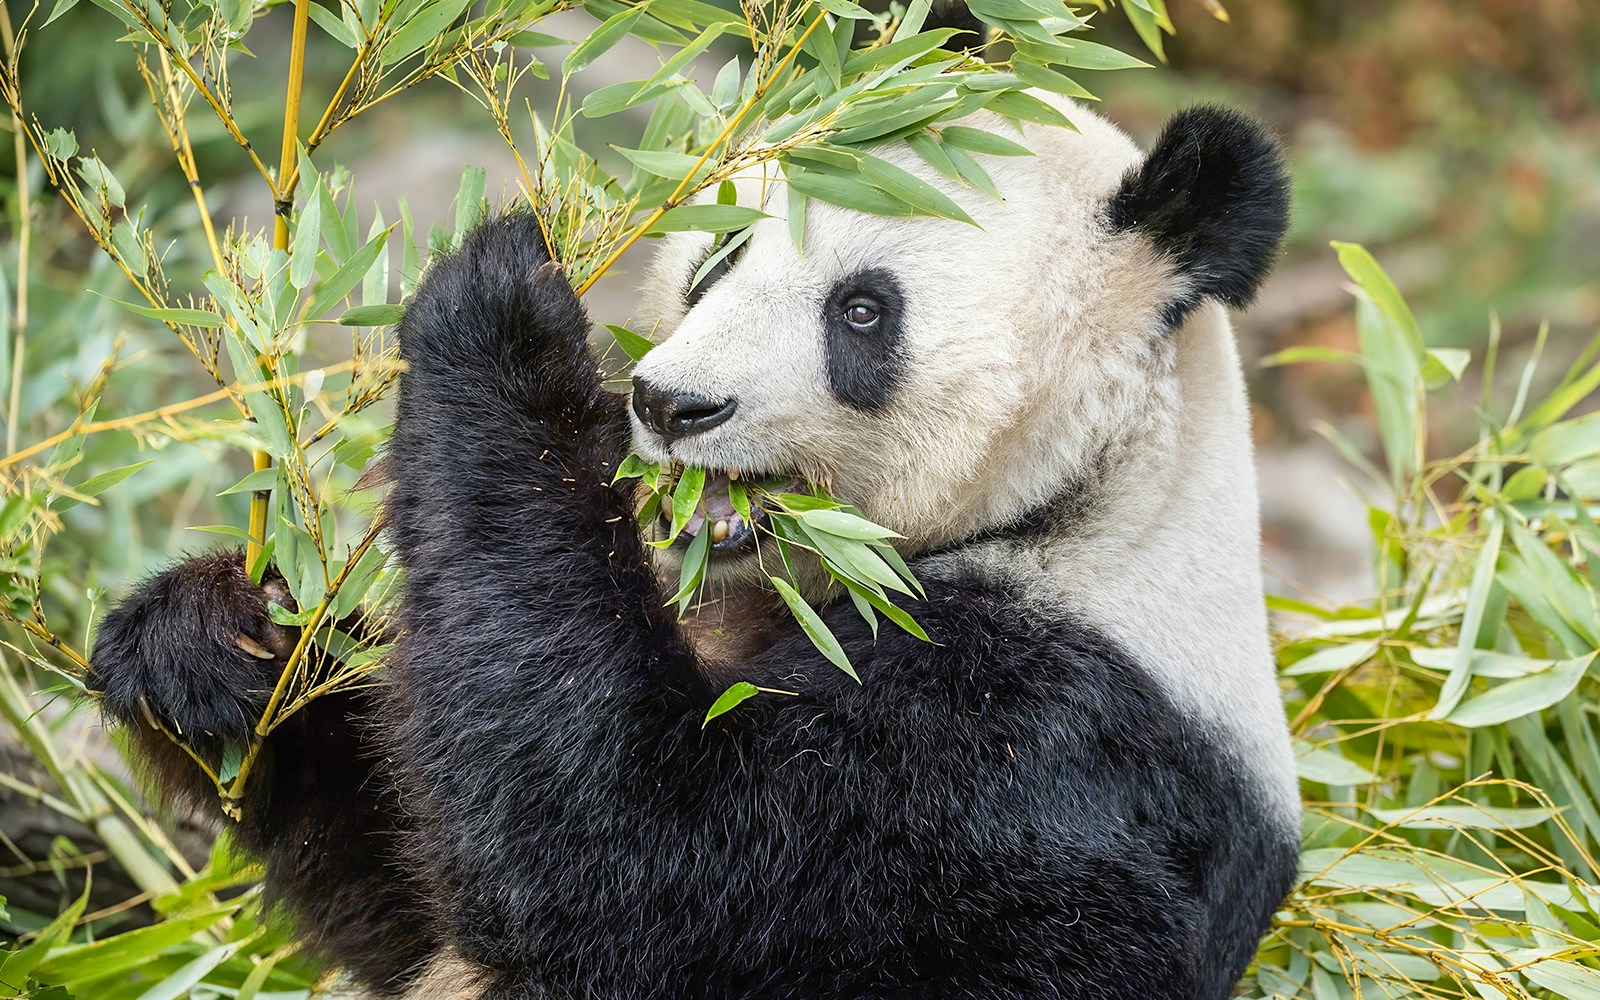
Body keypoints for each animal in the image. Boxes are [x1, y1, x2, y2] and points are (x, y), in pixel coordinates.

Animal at [89, 92, 1297, 999]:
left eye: (863, 311)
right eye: (720, 253)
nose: (670, 403)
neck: (1089, 503)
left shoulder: (1029, 752)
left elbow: (625, 857)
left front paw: (508, 310)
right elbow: (404, 870)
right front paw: (209, 646)